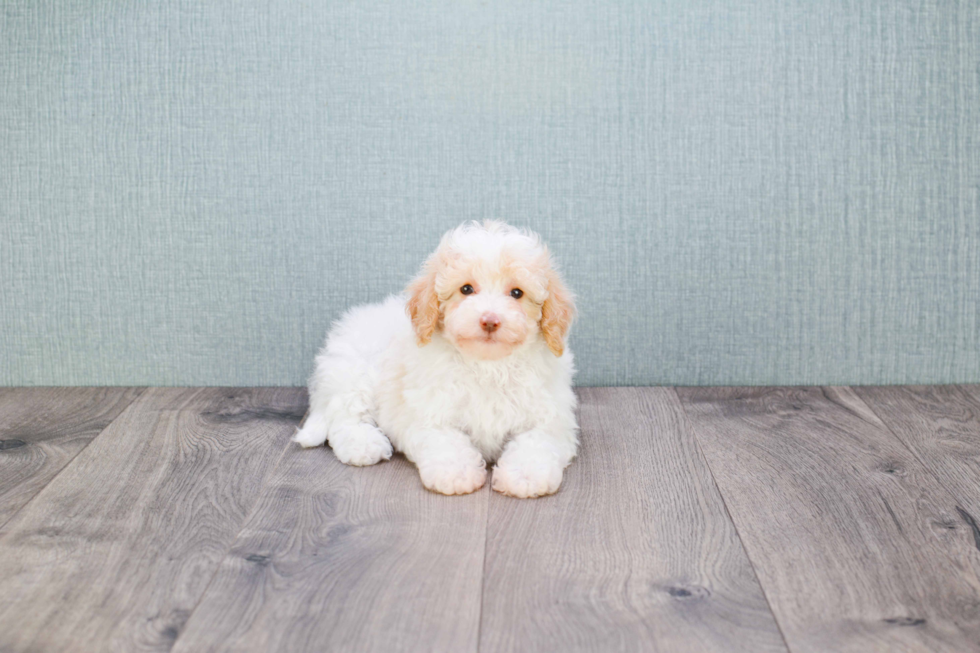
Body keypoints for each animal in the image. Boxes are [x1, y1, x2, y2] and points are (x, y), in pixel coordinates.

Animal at [294, 222, 580, 496]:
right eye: (466, 289)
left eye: (517, 293)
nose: (489, 320)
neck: (487, 364)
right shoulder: (429, 412)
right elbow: (446, 442)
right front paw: (456, 472)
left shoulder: (550, 417)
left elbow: (537, 443)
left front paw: (525, 476)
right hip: (354, 373)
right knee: (344, 416)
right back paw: (363, 444)